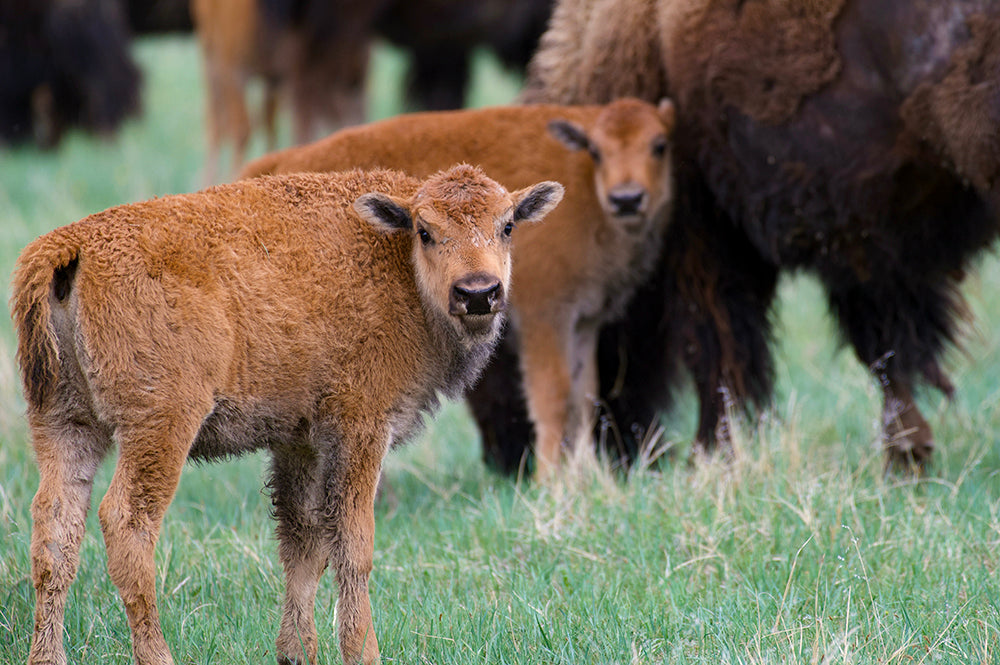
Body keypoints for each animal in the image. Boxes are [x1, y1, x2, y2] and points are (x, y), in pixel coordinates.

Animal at [13, 162, 564, 664]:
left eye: (507, 226)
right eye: (426, 232)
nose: (478, 292)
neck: (396, 259)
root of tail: (72, 245)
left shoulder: (300, 443)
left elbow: (304, 543)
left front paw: (297, 653)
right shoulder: (361, 428)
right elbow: (352, 545)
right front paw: (362, 651)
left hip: (63, 424)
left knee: (54, 534)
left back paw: (47, 657)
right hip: (160, 426)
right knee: (127, 522)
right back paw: (158, 655)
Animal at [474, 0, 1000, 472]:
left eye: (504, 346)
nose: (505, 460)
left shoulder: (705, 249)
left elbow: (719, 353)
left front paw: (711, 457)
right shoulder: (866, 255)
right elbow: (882, 351)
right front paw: (910, 454)